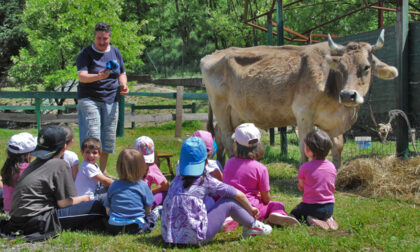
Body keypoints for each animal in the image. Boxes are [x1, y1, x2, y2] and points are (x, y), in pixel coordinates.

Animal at [202, 30, 398, 167]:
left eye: (366, 67)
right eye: (341, 67)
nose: (347, 95)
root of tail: (214, 53)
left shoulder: (334, 123)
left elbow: (338, 145)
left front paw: (338, 171)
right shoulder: (303, 112)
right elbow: (305, 142)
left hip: (234, 113)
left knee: (219, 135)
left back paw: (221, 164)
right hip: (220, 106)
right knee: (227, 136)